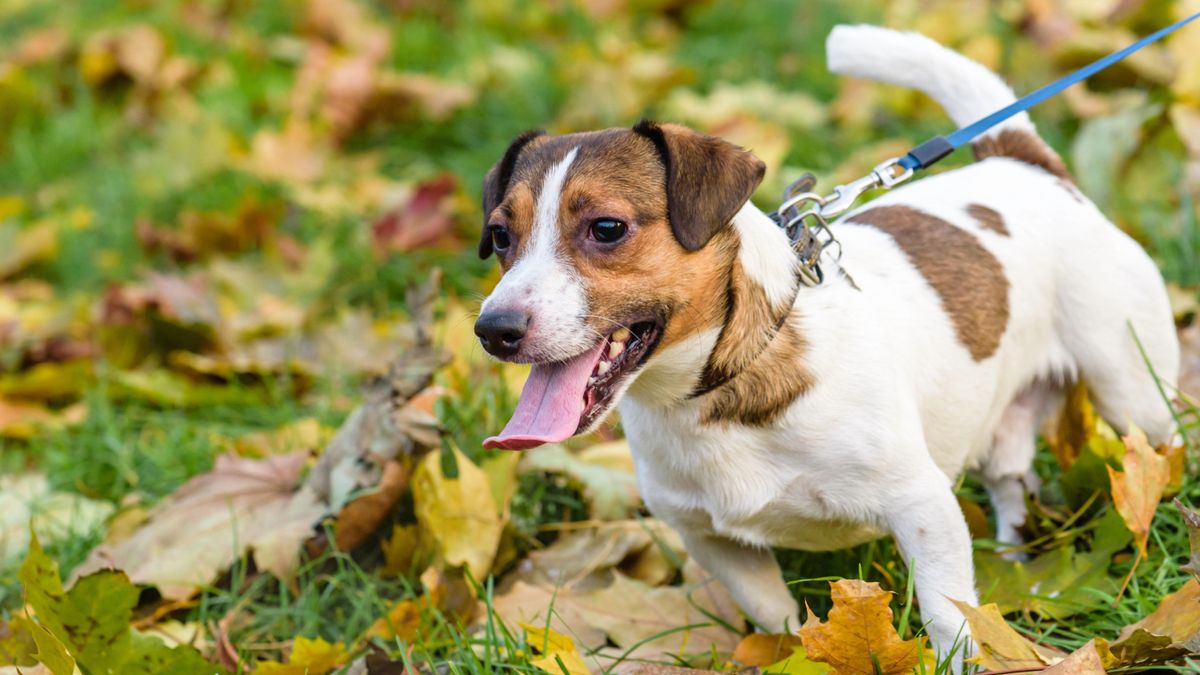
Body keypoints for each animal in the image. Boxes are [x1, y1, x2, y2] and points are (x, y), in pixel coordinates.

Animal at [470, 23, 1180, 658]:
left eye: (607, 228)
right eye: (501, 237)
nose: (492, 330)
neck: (720, 390)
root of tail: (1023, 164)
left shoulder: (922, 506)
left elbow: (948, 616)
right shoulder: (713, 541)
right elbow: (775, 617)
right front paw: (793, 651)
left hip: (1132, 395)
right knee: (1011, 484)